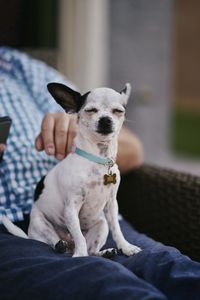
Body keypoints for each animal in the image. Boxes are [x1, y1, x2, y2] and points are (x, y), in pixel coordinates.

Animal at [2, 82, 141, 258]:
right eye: (90, 110)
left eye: (118, 111)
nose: (105, 120)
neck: (98, 160)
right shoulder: (71, 208)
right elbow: (79, 236)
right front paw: (80, 255)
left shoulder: (111, 206)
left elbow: (117, 229)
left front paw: (126, 246)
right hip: (41, 224)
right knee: (59, 242)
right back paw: (62, 246)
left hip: (101, 224)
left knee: (92, 250)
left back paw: (105, 252)